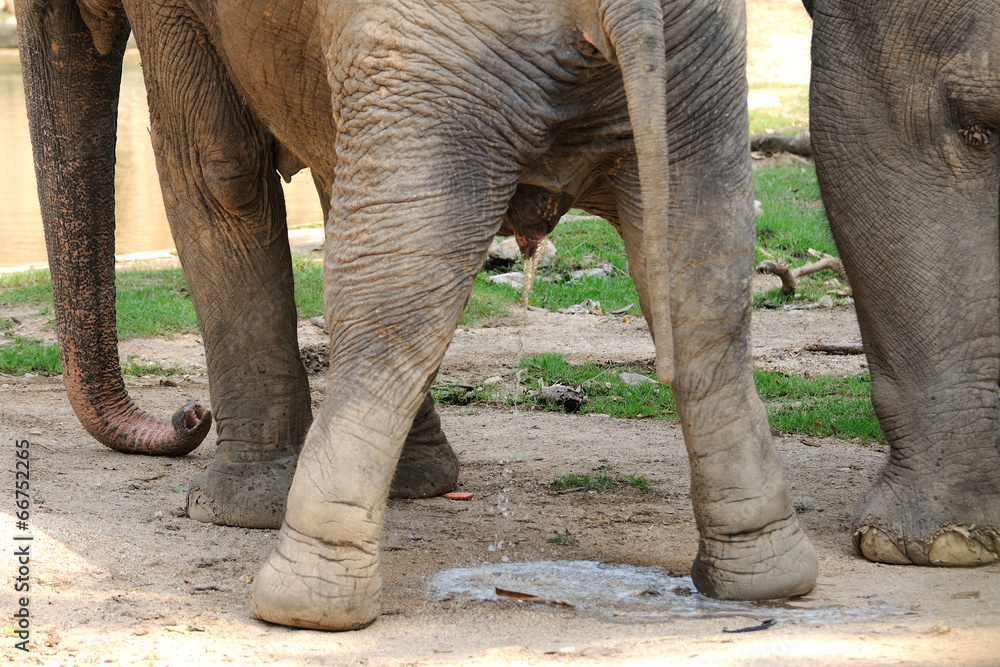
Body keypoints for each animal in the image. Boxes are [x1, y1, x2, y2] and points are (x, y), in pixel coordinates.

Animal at [17, 0, 818, 630]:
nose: (189, 416)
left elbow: (219, 170)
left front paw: (225, 509)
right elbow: (327, 164)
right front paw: (420, 484)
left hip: (445, 59)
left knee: (393, 296)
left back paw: (301, 601)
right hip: (692, 67)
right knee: (702, 277)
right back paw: (764, 579)